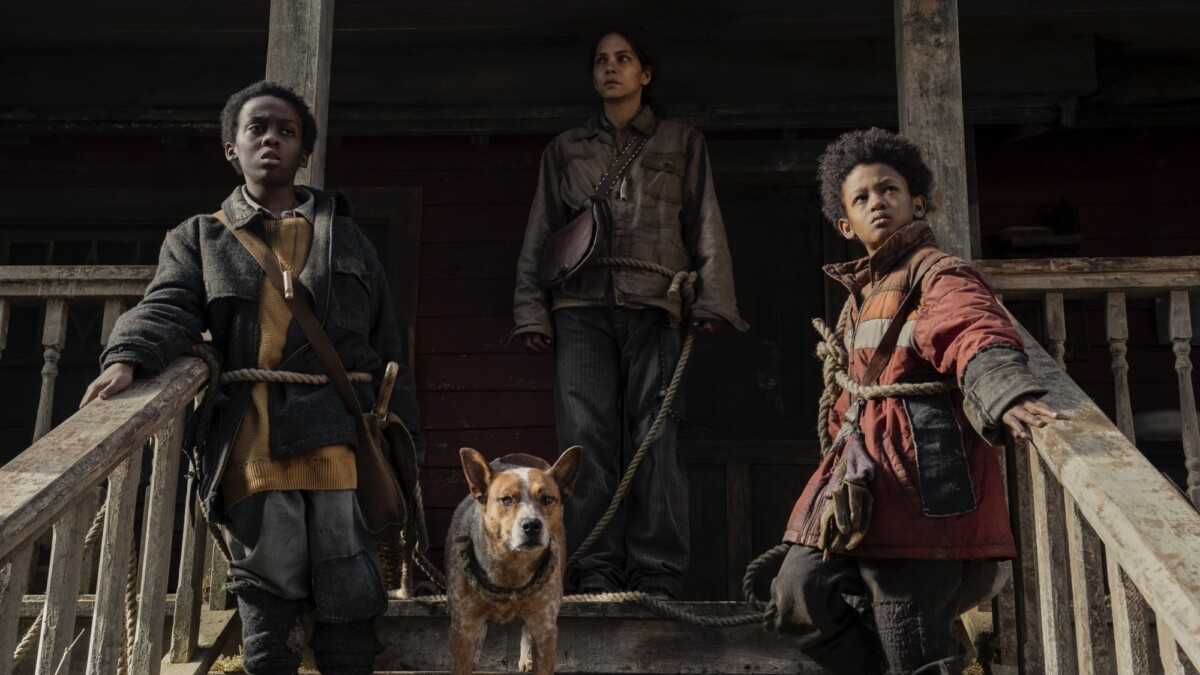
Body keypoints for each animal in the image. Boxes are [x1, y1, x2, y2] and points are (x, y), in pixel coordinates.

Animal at [448, 446, 583, 672]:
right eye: (506, 500)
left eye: (547, 499)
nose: (531, 525)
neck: (510, 567)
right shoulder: (463, 626)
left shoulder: (545, 627)